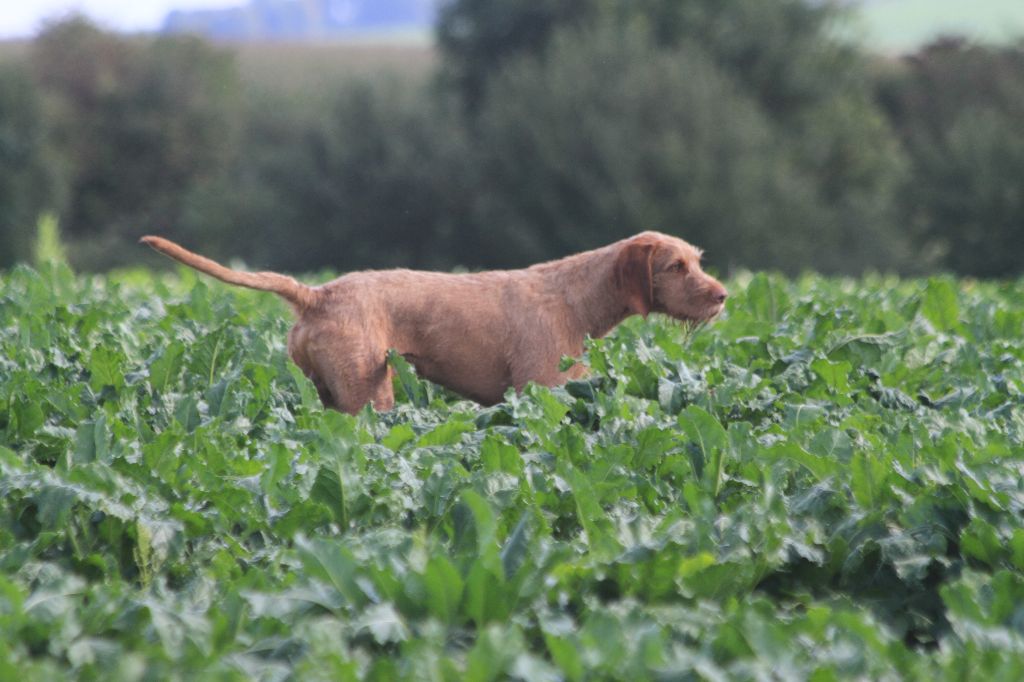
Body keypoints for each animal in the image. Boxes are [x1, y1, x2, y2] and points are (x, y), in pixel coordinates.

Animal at [142, 231, 729, 411]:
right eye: (676, 266)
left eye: (699, 259)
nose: (723, 296)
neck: (574, 298)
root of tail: (318, 294)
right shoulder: (540, 389)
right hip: (369, 393)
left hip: (330, 394)